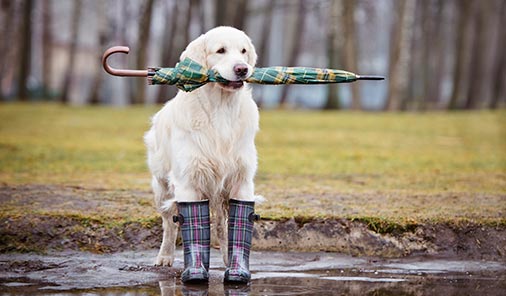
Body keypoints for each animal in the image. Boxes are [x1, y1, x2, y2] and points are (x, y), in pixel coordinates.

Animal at [142, 26, 260, 268]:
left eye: (243, 51)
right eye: (221, 50)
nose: (242, 69)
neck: (221, 108)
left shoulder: (241, 180)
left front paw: (235, 265)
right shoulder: (188, 180)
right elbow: (187, 224)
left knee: (221, 226)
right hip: (161, 186)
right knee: (169, 223)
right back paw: (165, 256)